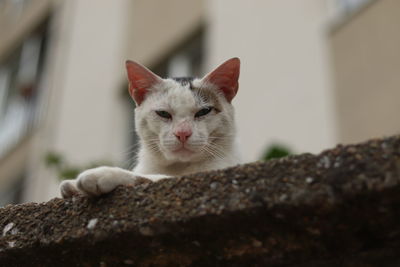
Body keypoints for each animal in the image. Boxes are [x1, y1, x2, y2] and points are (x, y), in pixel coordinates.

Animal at [59, 57, 241, 199]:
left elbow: (150, 177)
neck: (177, 167)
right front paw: (73, 186)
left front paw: (103, 174)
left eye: (204, 111)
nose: (182, 133)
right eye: (163, 113)